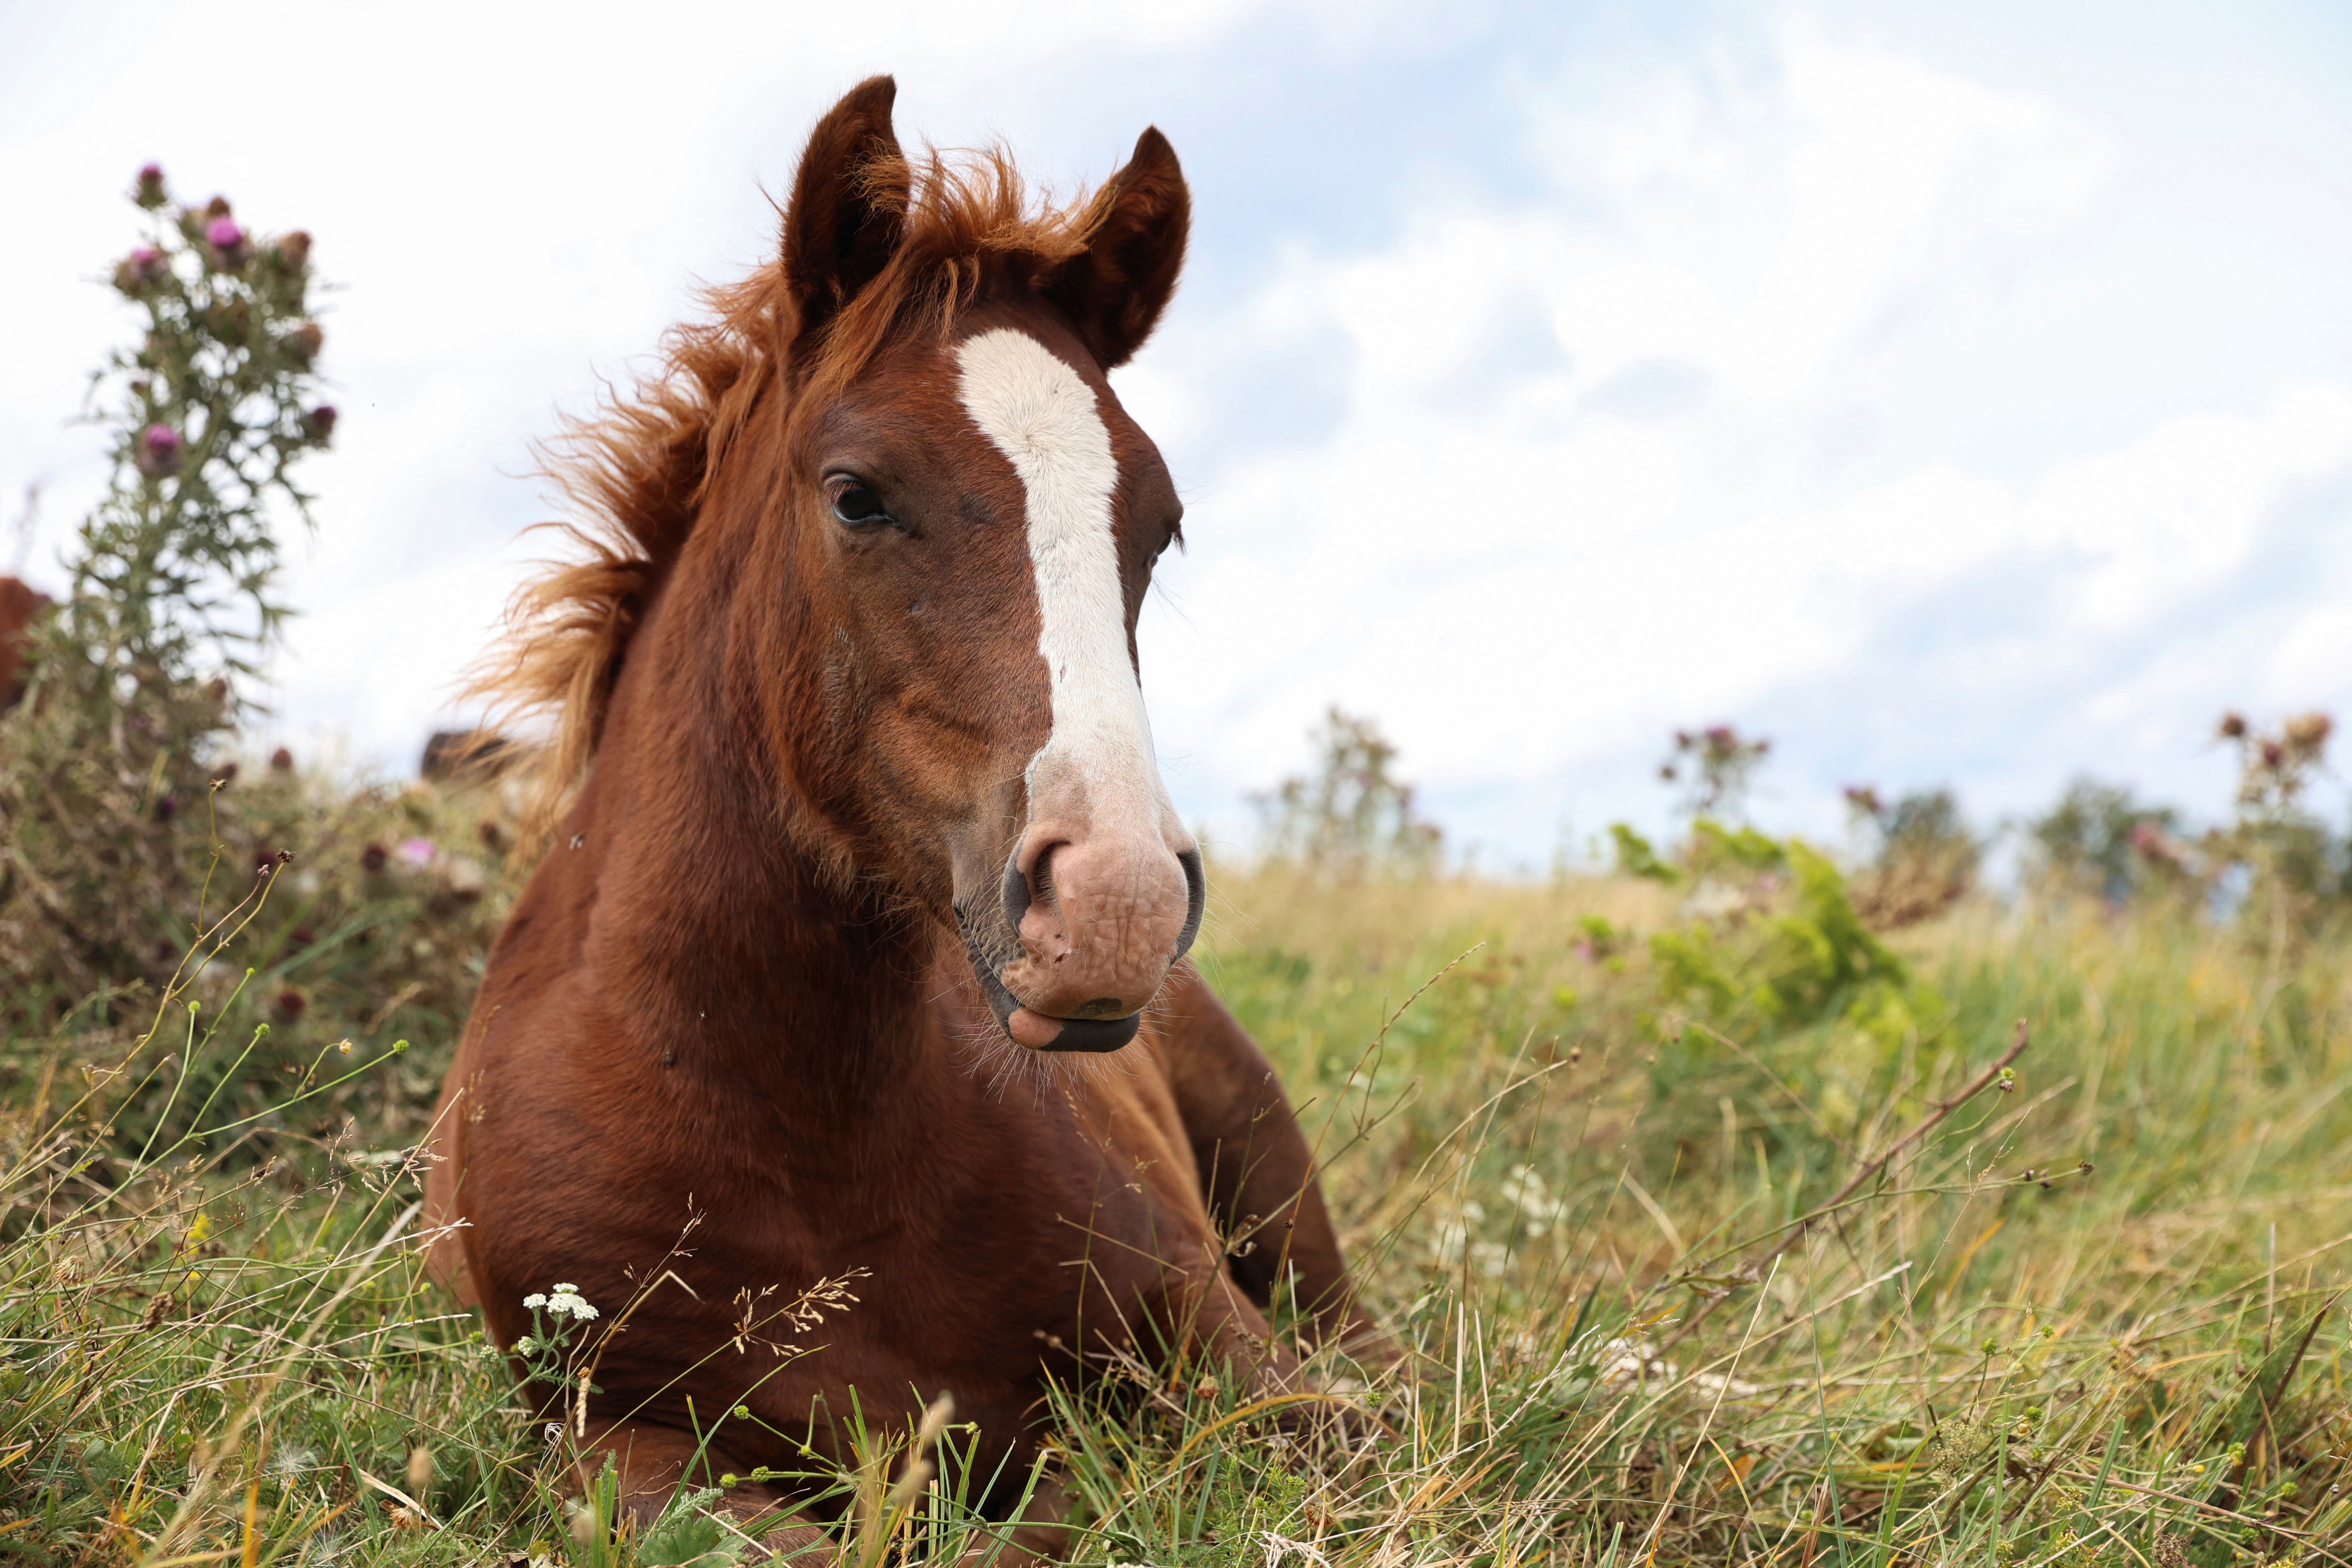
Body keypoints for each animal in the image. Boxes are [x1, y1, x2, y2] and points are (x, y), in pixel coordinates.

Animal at [423, 76, 1383, 1561]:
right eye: (856, 494)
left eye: (1159, 525)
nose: (1116, 902)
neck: (802, 1133)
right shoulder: (607, 1441)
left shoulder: (1240, 1362)